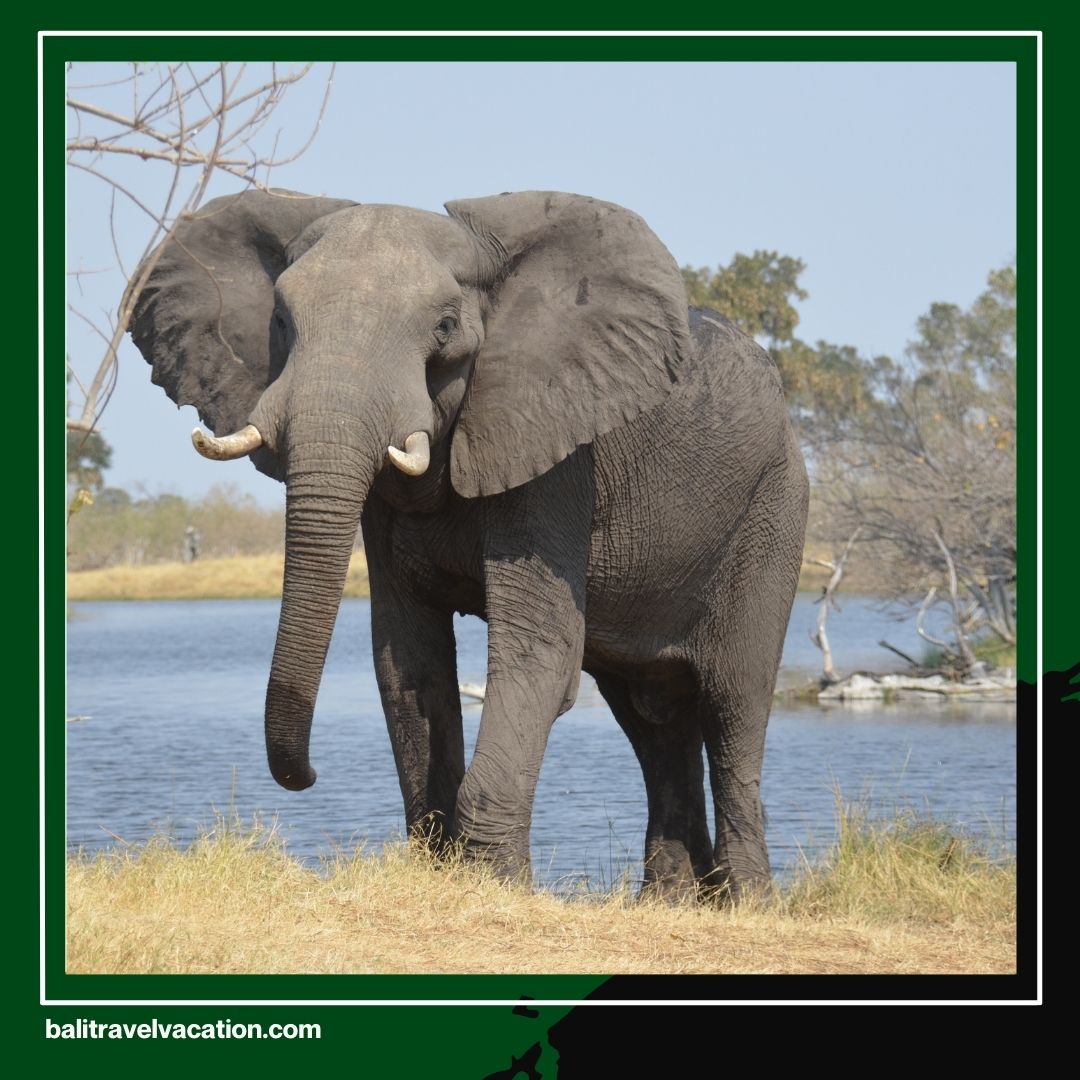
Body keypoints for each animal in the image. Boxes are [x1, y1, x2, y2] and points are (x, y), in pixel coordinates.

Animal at [129, 187, 808, 899]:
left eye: (445, 327)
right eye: (282, 321)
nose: (308, 776)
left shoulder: (554, 451)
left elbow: (540, 653)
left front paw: (498, 884)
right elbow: (407, 659)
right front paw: (442, 870)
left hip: (775, 508)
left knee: (734, 700)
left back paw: (746, 901)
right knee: (651, 715)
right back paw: (673, 900)